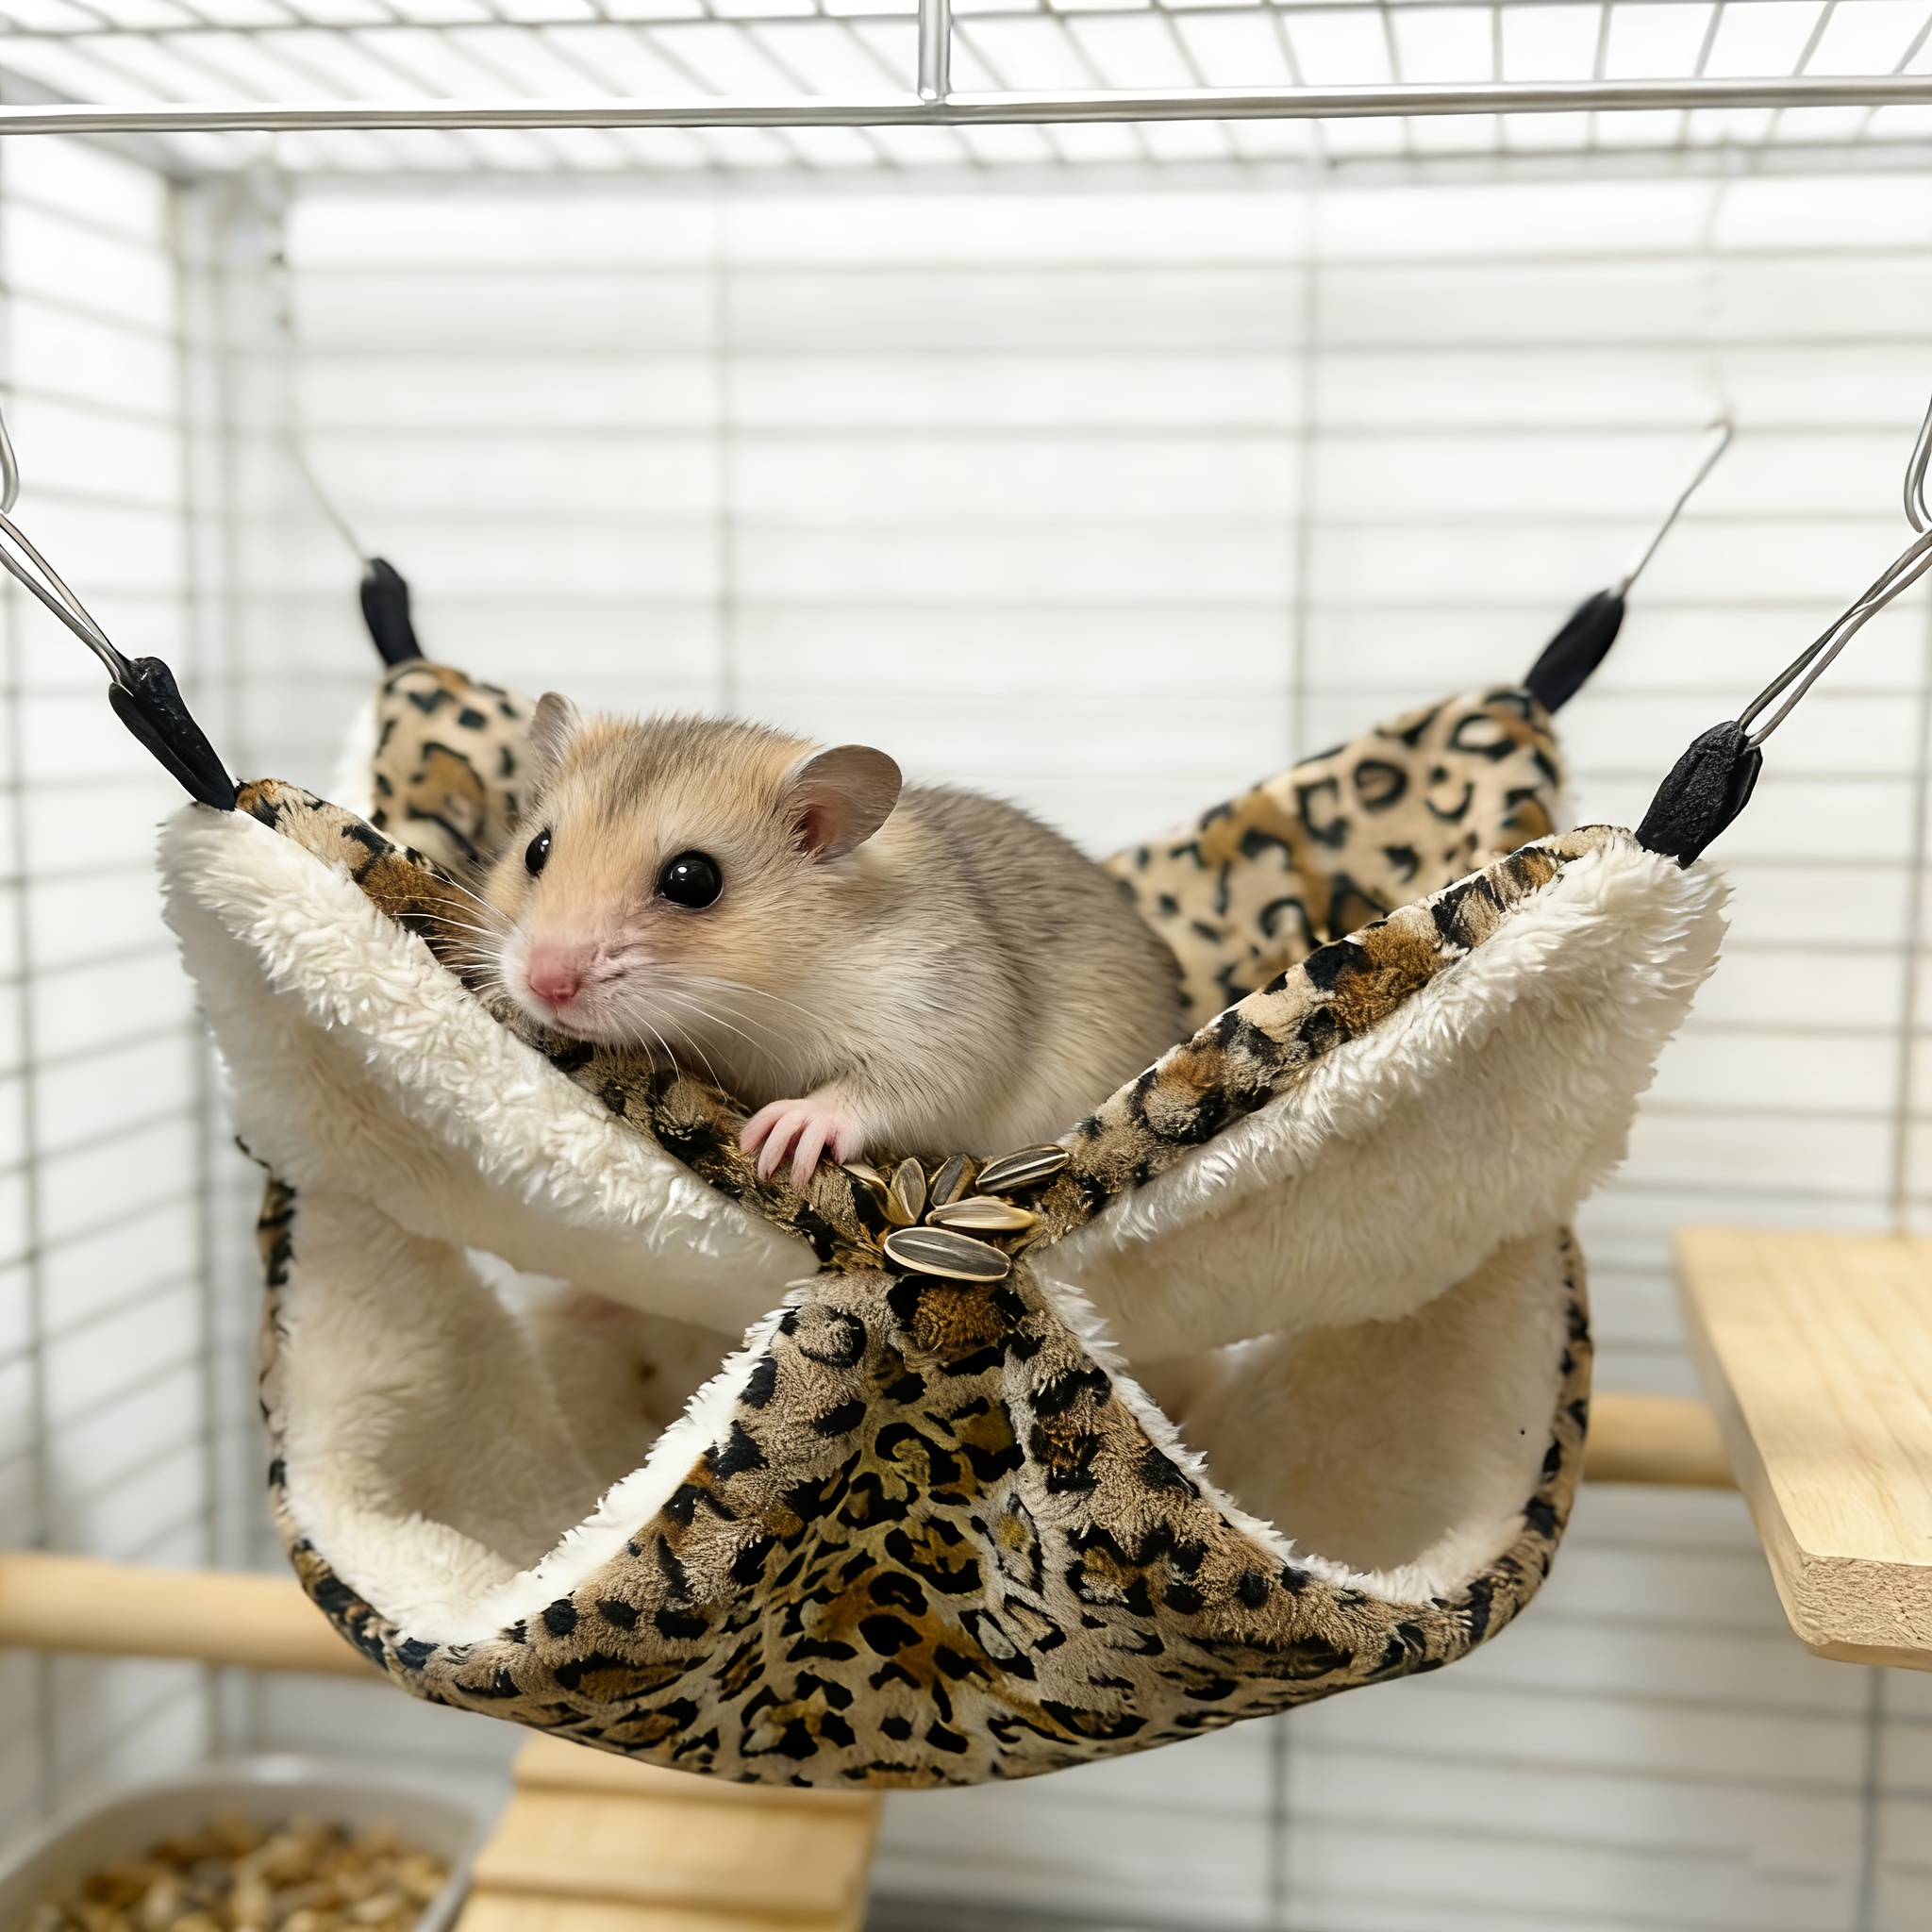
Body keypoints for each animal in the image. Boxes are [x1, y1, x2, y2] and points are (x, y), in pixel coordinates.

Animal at [479, 697, 1188, 1188]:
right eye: (537, 849)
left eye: (694, 880)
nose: (543, 985)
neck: (761, 1006)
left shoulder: (944, 1021)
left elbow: (891, 1088)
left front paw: (786, 1131)